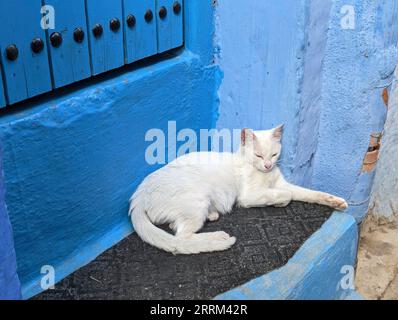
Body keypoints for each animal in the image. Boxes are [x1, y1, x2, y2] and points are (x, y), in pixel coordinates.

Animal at [129, 126, 346, 254]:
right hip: (197, 199)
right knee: (180, 238)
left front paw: (336, 201)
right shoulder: (249, 196)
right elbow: (288, 194)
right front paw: (281, 202)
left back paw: (212, 215)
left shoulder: (282, 184)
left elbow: (309, 193)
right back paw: (218, 236)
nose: (268, 165)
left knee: (176, 228)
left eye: (273, 154)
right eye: (258, 155)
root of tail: (139, 194)